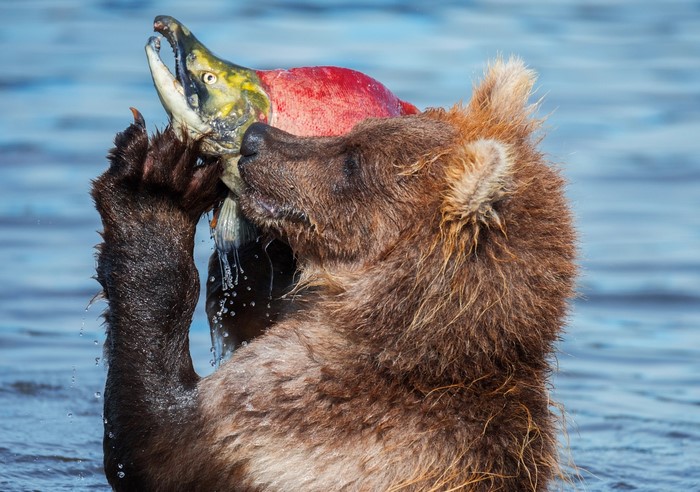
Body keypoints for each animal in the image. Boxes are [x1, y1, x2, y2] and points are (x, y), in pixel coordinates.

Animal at [92, 58, 576, 491]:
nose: (254, 139)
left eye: (352, 162)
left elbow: (155, 440)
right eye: (354, 131)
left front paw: (157, 182)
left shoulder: (309, 420)